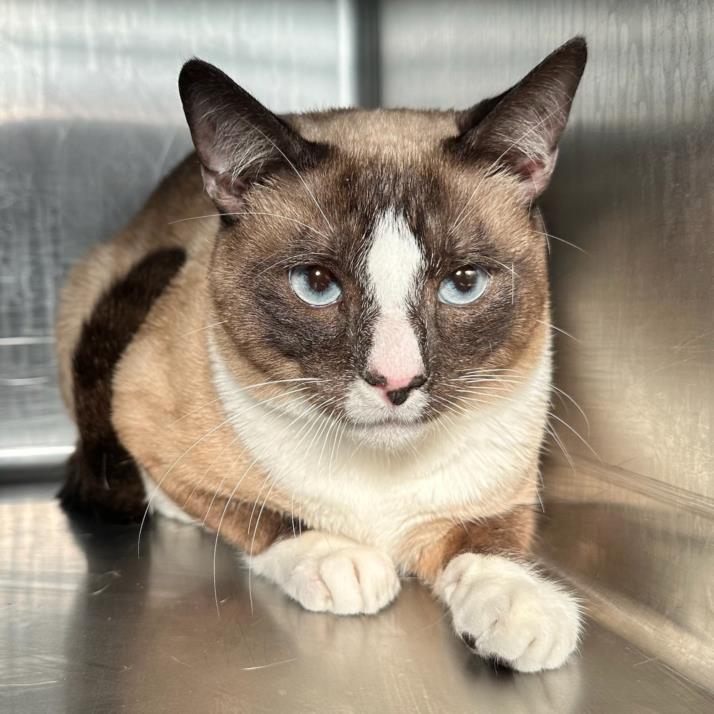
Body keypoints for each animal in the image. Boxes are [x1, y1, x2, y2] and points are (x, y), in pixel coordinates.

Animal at [55, 36, 588, 672]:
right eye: (315, 284)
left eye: (463, 283)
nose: (396, 381)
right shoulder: (139, 404)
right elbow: (258, 513)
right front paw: (340, 562)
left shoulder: (507, 485)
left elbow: (490, 540)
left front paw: (520, 606)